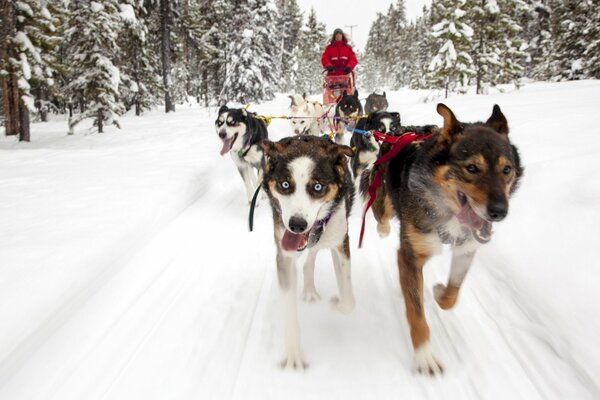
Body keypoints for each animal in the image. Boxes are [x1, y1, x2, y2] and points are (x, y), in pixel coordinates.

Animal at [260, 136, 354, 370]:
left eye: (318, 187)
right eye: (285, 185)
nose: (297, 225)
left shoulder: (341, 242)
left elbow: (349, 300)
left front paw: (337, 305)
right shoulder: (284, 256)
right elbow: (290, 310)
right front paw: (293, 353)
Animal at [364, 102, 524, 376]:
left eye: (507, 170)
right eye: (471, 168)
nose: (499, 212)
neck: (446, 210)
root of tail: (398, 132)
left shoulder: (466, 249)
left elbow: (452, 294)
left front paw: (439, 292)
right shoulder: (410, 255)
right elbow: (417, 314)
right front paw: (424, 355)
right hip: (383, 200)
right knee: (381, 214)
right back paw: (382, 230)